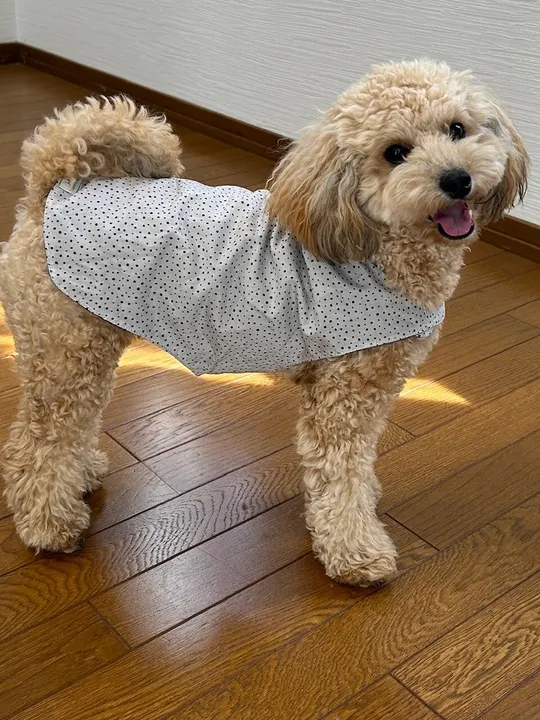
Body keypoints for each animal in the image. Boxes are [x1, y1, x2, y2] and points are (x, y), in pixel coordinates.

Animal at [0, 59, 528, 587]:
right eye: (395, 153)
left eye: (457, 129)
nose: (457, 179)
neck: (377, 249)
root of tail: (50, 189)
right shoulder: (344, 395)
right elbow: (342, 476)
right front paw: (357, 553)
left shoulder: (375, 387)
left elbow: (360, 467)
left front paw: (367, 502)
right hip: (65, 350)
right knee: (37, 440)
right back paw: (49, 524)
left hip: (86, 344)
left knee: (74, 424)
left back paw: (83, 471)